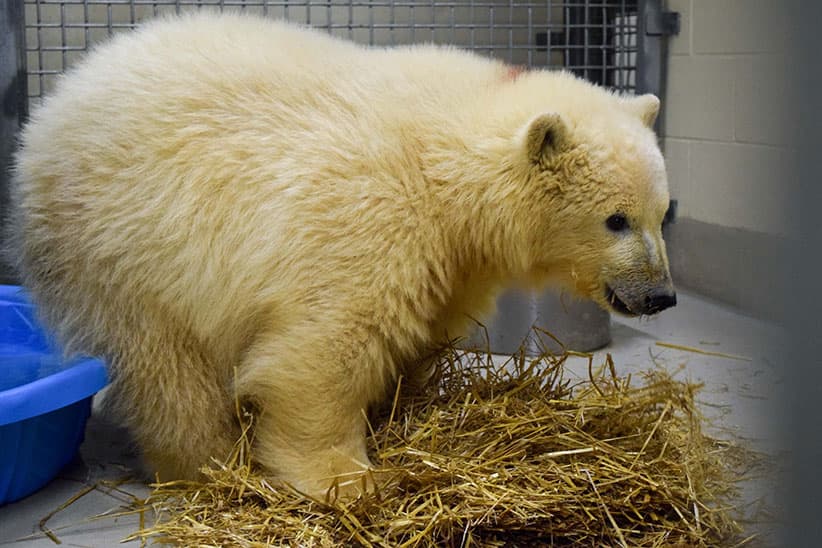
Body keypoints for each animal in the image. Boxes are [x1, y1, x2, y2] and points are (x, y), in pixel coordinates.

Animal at [7, 12, 676, 497]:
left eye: (662, 211)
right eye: (615, 219)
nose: (661, 295)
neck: (444, 157)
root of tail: (52, 109)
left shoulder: (451, 259)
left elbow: (418, 331)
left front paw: (403, 407)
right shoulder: (368, 215)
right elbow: (321, 352)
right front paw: (345, 477)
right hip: (120, 244)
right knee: (166, 368)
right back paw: (207, 464)